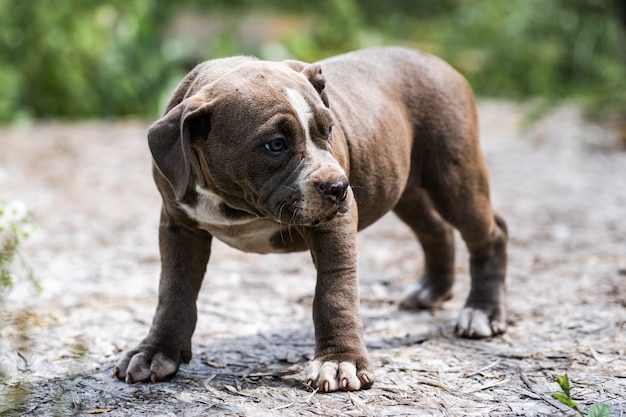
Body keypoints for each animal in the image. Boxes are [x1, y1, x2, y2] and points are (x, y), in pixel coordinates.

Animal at [113, 47, 508, 392]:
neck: (235, 203)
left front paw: (339, 361)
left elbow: (335, 292)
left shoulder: (334, 223)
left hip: (454, 177)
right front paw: (155, 352)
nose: (339, 186)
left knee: (491, 232)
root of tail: (436, 60)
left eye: (329, 130)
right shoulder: (178, 226)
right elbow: (174, 290)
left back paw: (482, 311)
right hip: (403, 187)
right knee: (436, 229)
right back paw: (432, 290)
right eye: (275, 144)